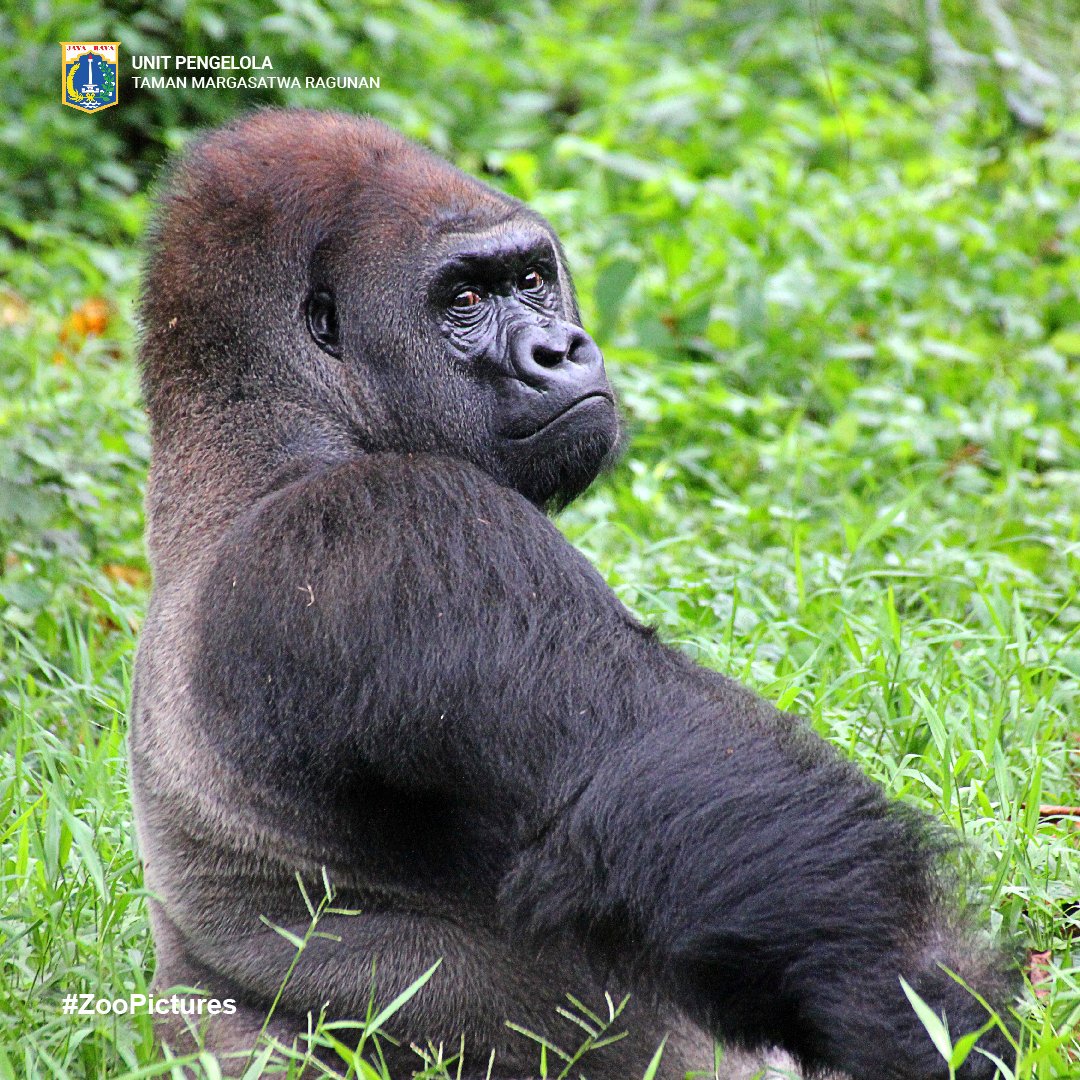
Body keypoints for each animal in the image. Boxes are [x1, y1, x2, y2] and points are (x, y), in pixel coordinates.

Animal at [129, 109, 1018, 1080]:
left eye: (530, 278)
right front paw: (936, 1016)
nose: (560, 349)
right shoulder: (394, 523)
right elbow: (665, 776)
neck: (264, 430)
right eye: (464, 301)